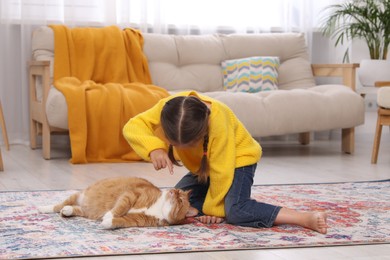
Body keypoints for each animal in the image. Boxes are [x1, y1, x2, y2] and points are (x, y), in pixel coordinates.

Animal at [38, 176, 193, 229]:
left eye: (180, 200)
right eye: (178, 191)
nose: (173, 191)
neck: (159, 208)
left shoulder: (134, 220)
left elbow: (119, 221)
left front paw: (107, 222)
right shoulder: (131, 195)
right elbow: (119, 208)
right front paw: (108, 215)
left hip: (85, 211)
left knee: (73, 208)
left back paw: (67, 211)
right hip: (78, 195)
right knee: (58, 205)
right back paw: (43, 208)